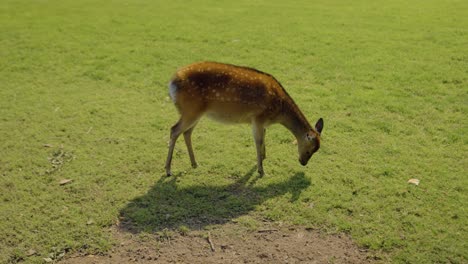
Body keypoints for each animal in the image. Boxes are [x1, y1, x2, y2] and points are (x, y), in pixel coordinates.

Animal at [166, 61, 324, 176]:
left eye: (316, 150)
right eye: (309, 151)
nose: (303, 162)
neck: (278, 111)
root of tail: (172, 83)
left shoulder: (262, 122)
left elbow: (264, 137)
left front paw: (264, 157)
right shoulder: (258, 117)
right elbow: (258, 141)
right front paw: (261, 170)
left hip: (197, 113)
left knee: (187, 132)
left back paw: (194, 163)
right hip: (190, 110)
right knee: (174, 130)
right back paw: (168, 170)